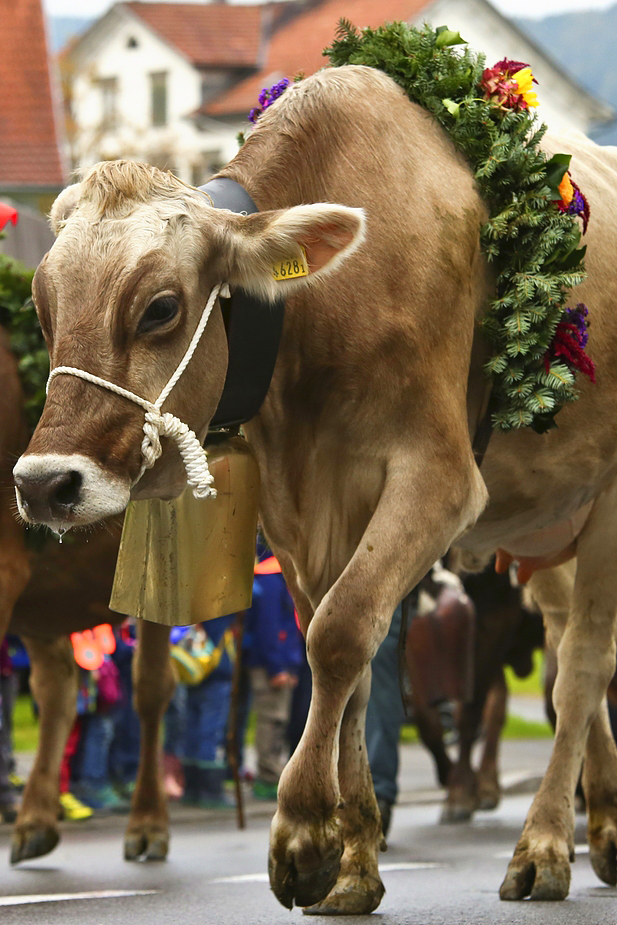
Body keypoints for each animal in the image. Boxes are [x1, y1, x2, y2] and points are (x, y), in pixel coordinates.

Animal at [12, 67, 616, 908]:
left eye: (161, 307)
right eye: (42, 307)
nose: (44, 484)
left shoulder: (439, 476)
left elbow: (338, 634)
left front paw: (299, 834)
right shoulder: (299, 503)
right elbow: (346, 659)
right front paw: (352, 857)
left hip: (603, 502)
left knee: (585, 662)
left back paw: (544, 843)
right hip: (545, 519)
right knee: (568, 652)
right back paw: (605, 824)